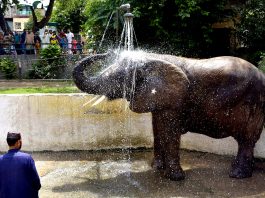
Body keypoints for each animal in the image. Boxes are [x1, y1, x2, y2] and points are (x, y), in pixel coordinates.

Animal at [72, 50, 264, 181]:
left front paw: (175, 178)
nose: (108, 52)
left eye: (120, 77)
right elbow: (157, 129)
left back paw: (237, 174)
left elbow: (170, 132)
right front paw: (157, 168)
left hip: (255, 102)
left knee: (247, 139)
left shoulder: (175, 100)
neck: (151, 59)